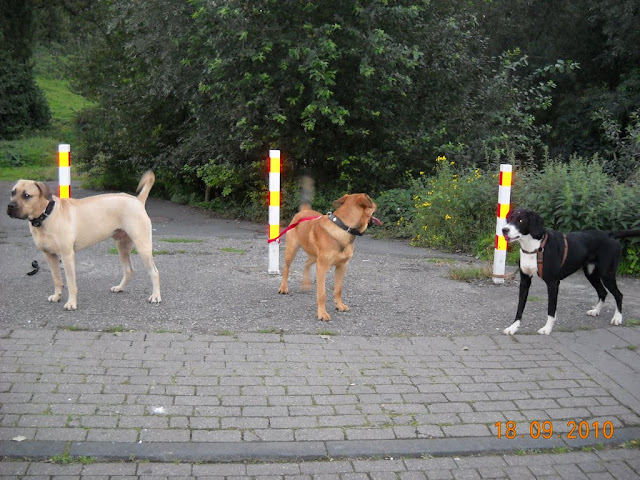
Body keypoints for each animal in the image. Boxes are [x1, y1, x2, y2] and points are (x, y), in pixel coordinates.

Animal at [7, 171, 161, 310]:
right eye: (13, 192)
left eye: (27, 195)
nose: (10, 206)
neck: (46, 215)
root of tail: (138, 200)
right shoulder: (49, 256)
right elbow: (57, 279)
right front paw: (57, 296)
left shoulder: (67, 256)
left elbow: (70, 283)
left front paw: (71, 303)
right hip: (122, 246)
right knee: (129, 270)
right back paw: (119, 288)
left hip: (143, 246)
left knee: (154, 272)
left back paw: (155, 296)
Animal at [502, 207, 640, 335]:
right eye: (510, 218)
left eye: (521, 220)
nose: (504, 230)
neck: (535, 248)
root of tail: (609, 234)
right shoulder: (525, 281)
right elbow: (520, 307)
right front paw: (513, 327)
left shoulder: (553, 283)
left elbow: (551, 309)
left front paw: (547, 328)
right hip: (591, 274)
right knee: (603, 292)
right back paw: (596, 311)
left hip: (607, 274)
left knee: (618, 295)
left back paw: (617, 318)